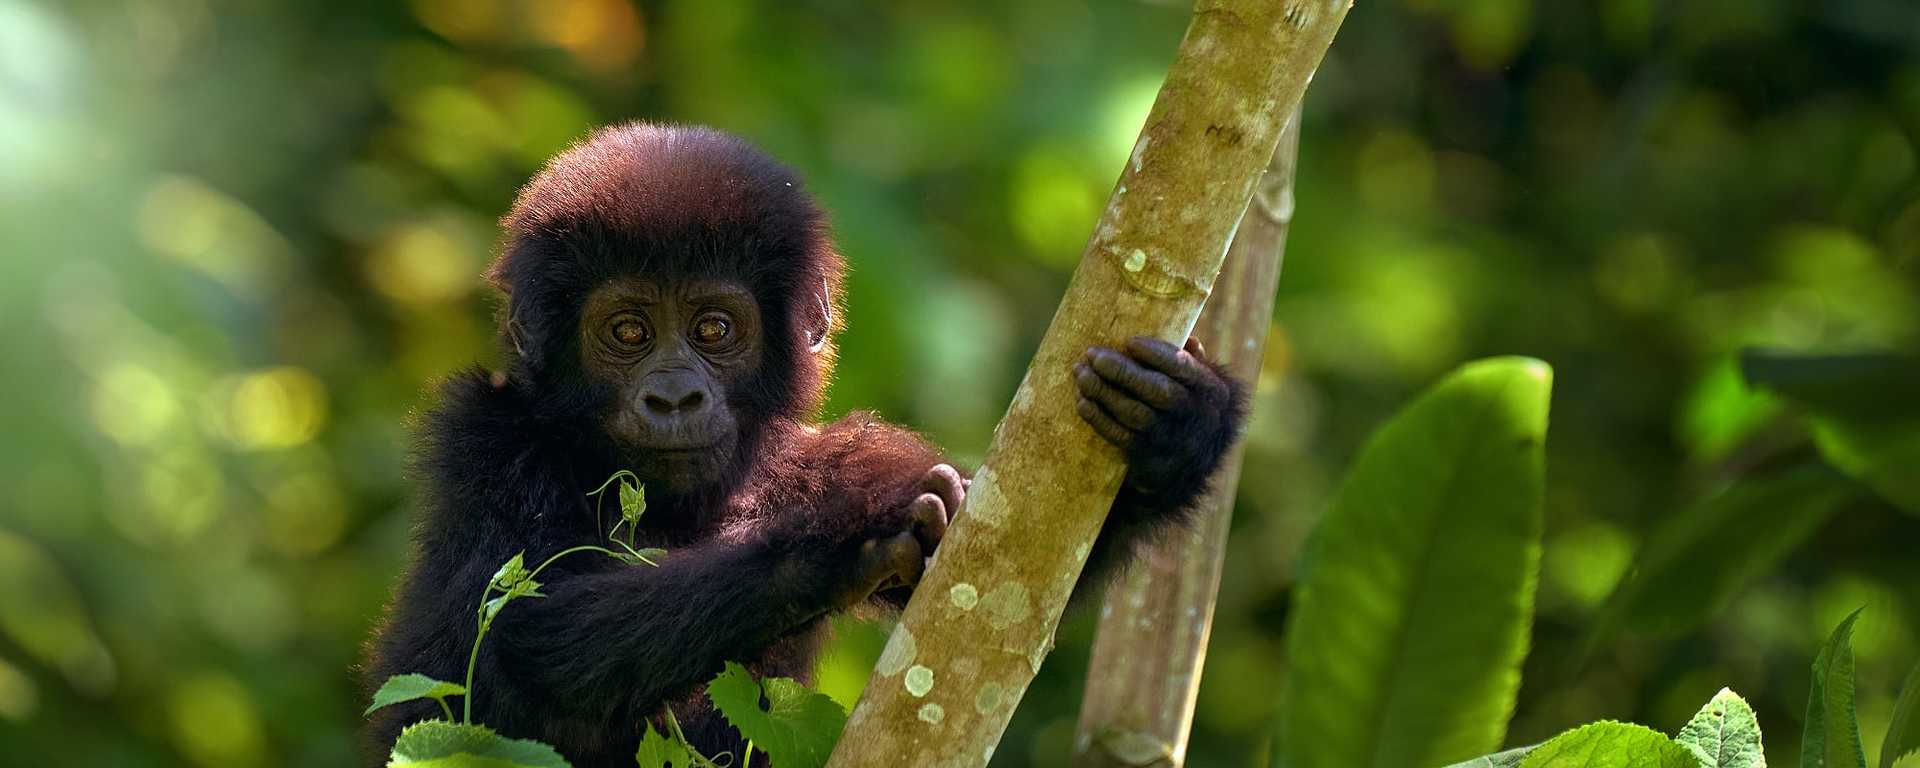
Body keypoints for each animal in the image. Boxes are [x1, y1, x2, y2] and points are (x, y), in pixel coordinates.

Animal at [362, 122, 1244, 764]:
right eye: (628, 331)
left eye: (714, 329)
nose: (674, 396)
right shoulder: (480, 438)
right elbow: (520, 628)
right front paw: (835, 546)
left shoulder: (821, 455)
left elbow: (1018, 570)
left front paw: (1181, 428)